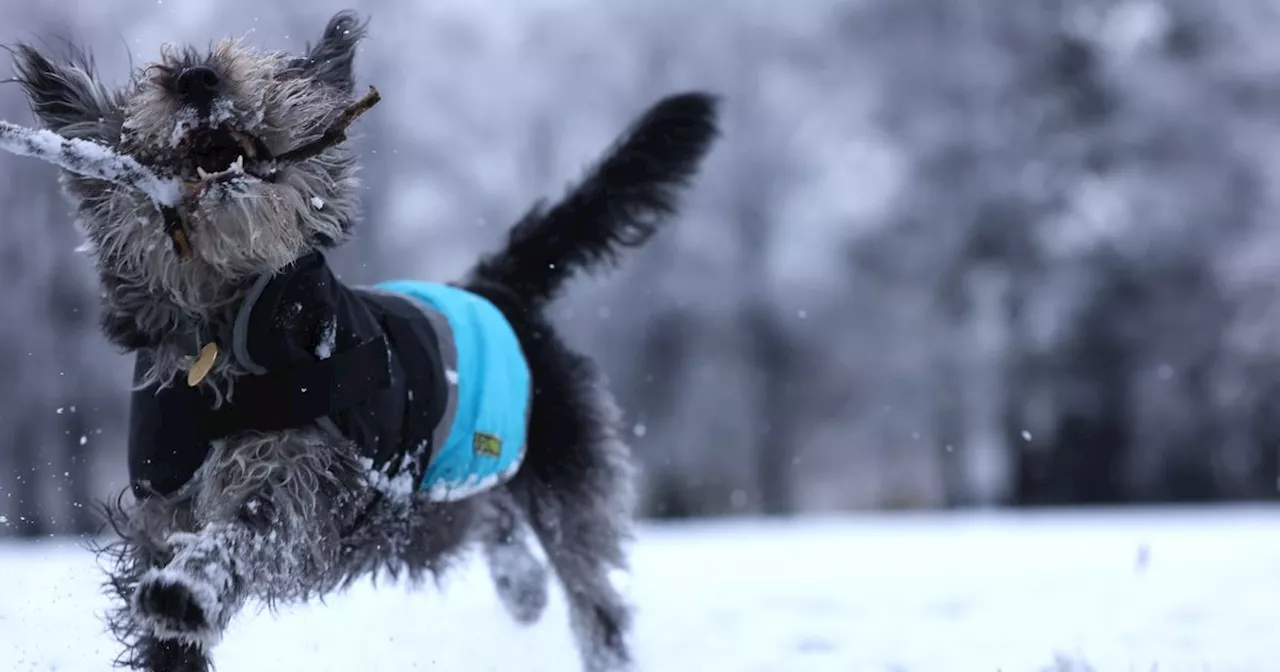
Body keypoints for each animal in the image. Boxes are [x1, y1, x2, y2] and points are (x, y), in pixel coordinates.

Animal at [12, 11, 721, 670]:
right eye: (150, 83)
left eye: (264, 69)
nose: (196, 78)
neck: (222, 327)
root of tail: (497, 286)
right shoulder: (163, 506)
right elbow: (164, 617)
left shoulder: (317, 475)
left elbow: (257, 524)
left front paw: (189, 588)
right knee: (493, 525)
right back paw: (523, 587)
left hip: (560, 467)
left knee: (591, 590)